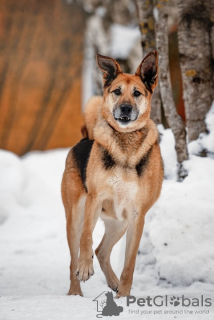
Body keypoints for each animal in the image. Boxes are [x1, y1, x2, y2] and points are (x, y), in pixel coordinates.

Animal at [61, 50, 164, 298]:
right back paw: (75, 293)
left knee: (102, 251)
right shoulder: (94, 199)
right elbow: (86, 238)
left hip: (120, 223)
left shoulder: (136, 217)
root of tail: (84, 138)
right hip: (75, 216)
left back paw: (114, 283)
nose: (125, 108)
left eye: (137, 93)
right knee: (74, 257)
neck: (125, 144)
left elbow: (129, 264)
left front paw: (124, 296)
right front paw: (85, 267)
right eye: (117, 91)